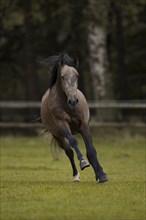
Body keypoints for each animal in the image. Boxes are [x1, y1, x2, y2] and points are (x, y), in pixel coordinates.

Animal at [40, 53, 108, 182]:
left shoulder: (84, 125)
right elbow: (73, 142)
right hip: (58, 136)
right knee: (69, 152)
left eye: (77, 75)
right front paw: (83, 162)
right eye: (62, 77)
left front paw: (101, 175)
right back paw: (75, 175)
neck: (69, 107)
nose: (73, 100)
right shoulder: (62, 124)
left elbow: (91, 150)